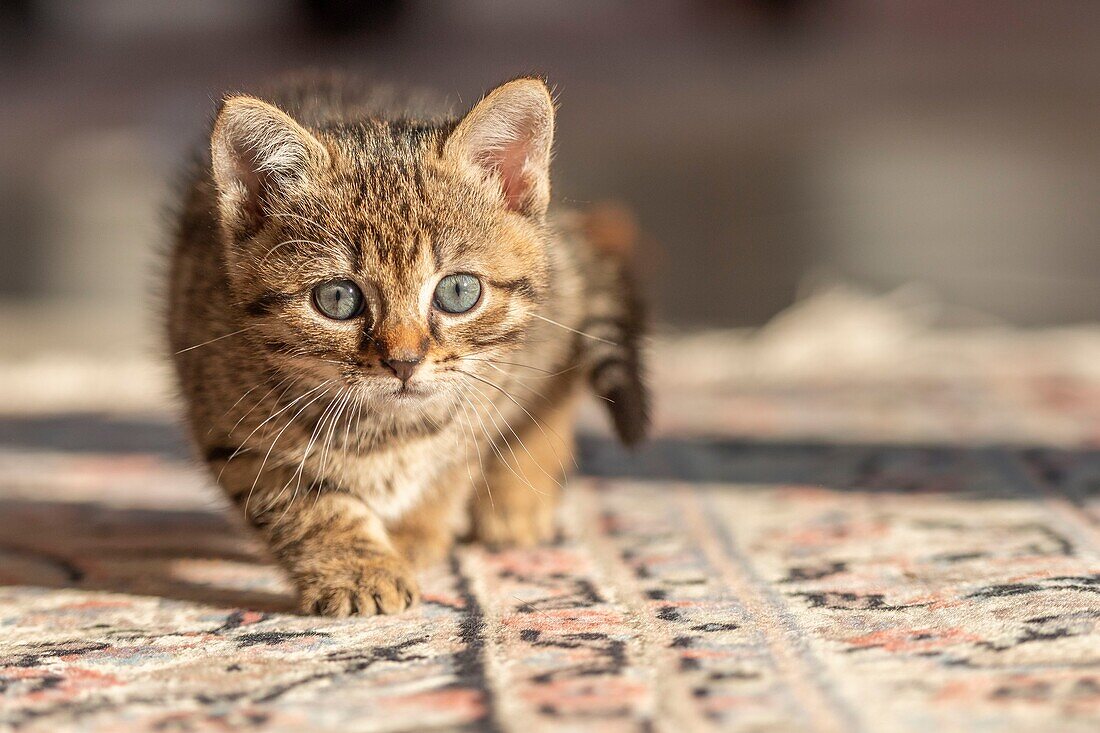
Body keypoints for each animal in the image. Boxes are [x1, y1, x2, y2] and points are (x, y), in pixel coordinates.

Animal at [162, 74, 642, 611]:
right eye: (337, 297)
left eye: (458, 291)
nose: (405, 361)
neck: (388, 430)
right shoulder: (237, 436)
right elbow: (309, 509)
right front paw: (358, 570)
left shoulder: (483, 398)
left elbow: (451, 467)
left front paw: (415, 534)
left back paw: (518, 500)